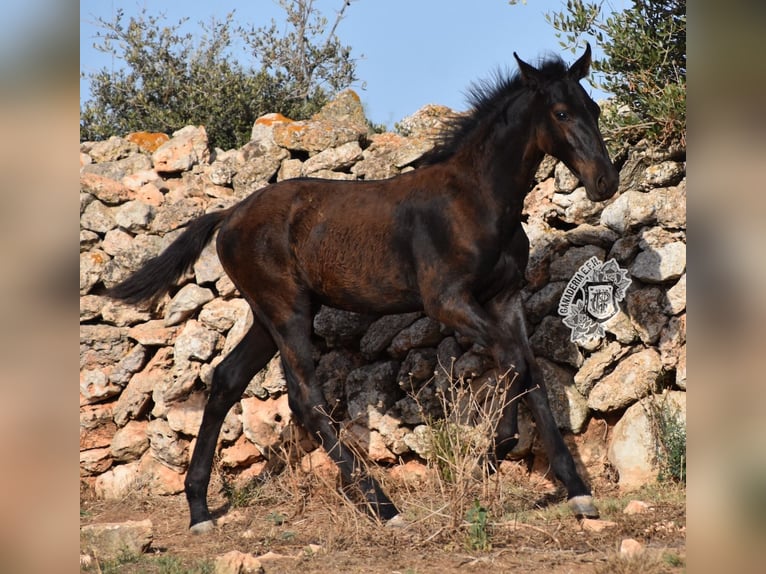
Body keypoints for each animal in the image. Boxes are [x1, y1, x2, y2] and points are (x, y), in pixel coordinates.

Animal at [111, 45, 620, 536]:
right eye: (560, 113)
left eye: (594, 108)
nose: (605, 181)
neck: (475, 201)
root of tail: (231, 214)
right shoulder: (447, 301)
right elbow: (513, 360)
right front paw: (495, 450)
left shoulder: (505, 298)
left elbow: (528, 369)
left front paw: (574, 489)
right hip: (287, 311)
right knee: (307, 401)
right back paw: (383, 506)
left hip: (267, 316)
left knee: (226, 381)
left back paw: (198, 509)